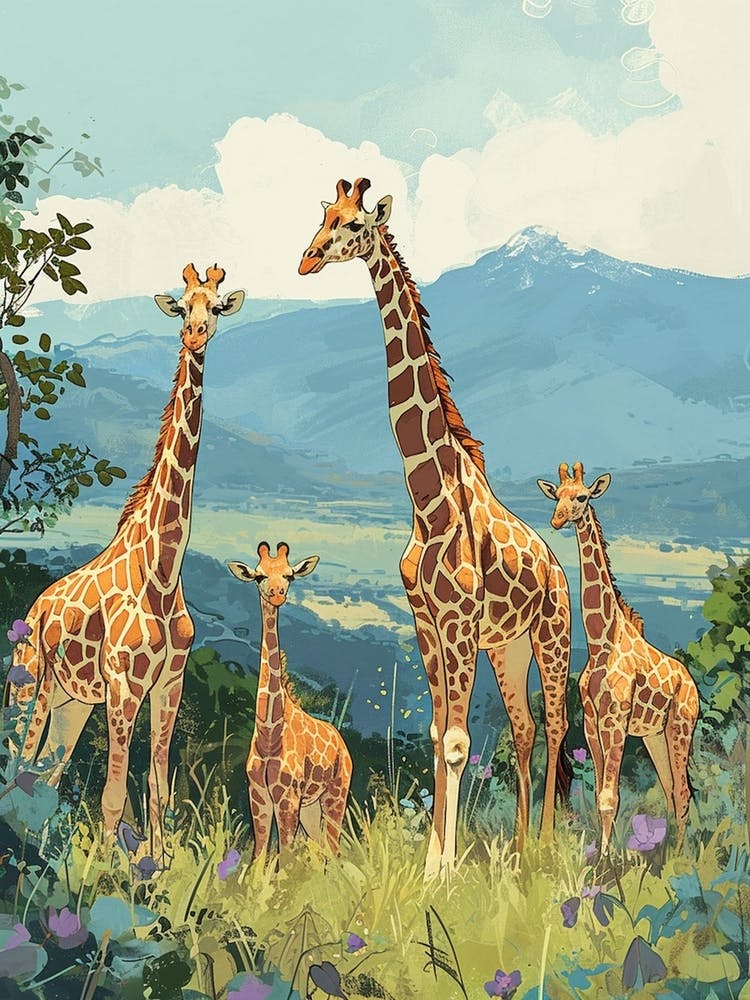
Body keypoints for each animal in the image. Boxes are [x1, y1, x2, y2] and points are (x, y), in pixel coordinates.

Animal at [9, 262, 245, 865]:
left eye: (216, 306)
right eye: (182, 305)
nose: (195, 334)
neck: (163, 570)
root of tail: (33, 609)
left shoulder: (170, 684)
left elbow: (158, 788)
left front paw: (154, 866)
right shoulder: (124, 684)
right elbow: (114, 794)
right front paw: (103, 875)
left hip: (71, 701)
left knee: (44, 777)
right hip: (30, 684)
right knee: (19, 762)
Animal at [227, 542, 352, 859]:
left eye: (289, 575)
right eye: (259, 576)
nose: (277, 594)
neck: (269, 736)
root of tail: (342, 743)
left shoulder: (287, 797)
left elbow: (285, 856)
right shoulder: (258, 795)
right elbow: (259, 856)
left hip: (336, 794)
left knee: (334, 849)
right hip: (310, 807)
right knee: (322, 849)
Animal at [299, 177, 572, 875]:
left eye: (352, 225)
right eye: (323, 214)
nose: (306, 259)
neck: (427, 501)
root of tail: (558, 569)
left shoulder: (458, 622)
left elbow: (454, 740)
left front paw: (441, 872)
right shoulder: (425, 619)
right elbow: (434, 732)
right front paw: (434, 861)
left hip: (551, 636)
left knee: (558, 726)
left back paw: (546, 848)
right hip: (507, 646)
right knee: (526, 728)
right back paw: (520, 848)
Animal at [537, 461, 699, 854]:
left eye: (582, 496)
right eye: (557, 496)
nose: (557, 519)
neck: (602, 642)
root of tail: (693, 685)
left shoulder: (615, 721)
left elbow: (611, 797)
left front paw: (607, 861)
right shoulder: (591, 722)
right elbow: (601, 796)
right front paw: (601, 854)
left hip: (681, 726)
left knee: (683, 791)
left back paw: (680, 856)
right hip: (655, 735)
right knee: (671, 790)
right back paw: (665, 850)